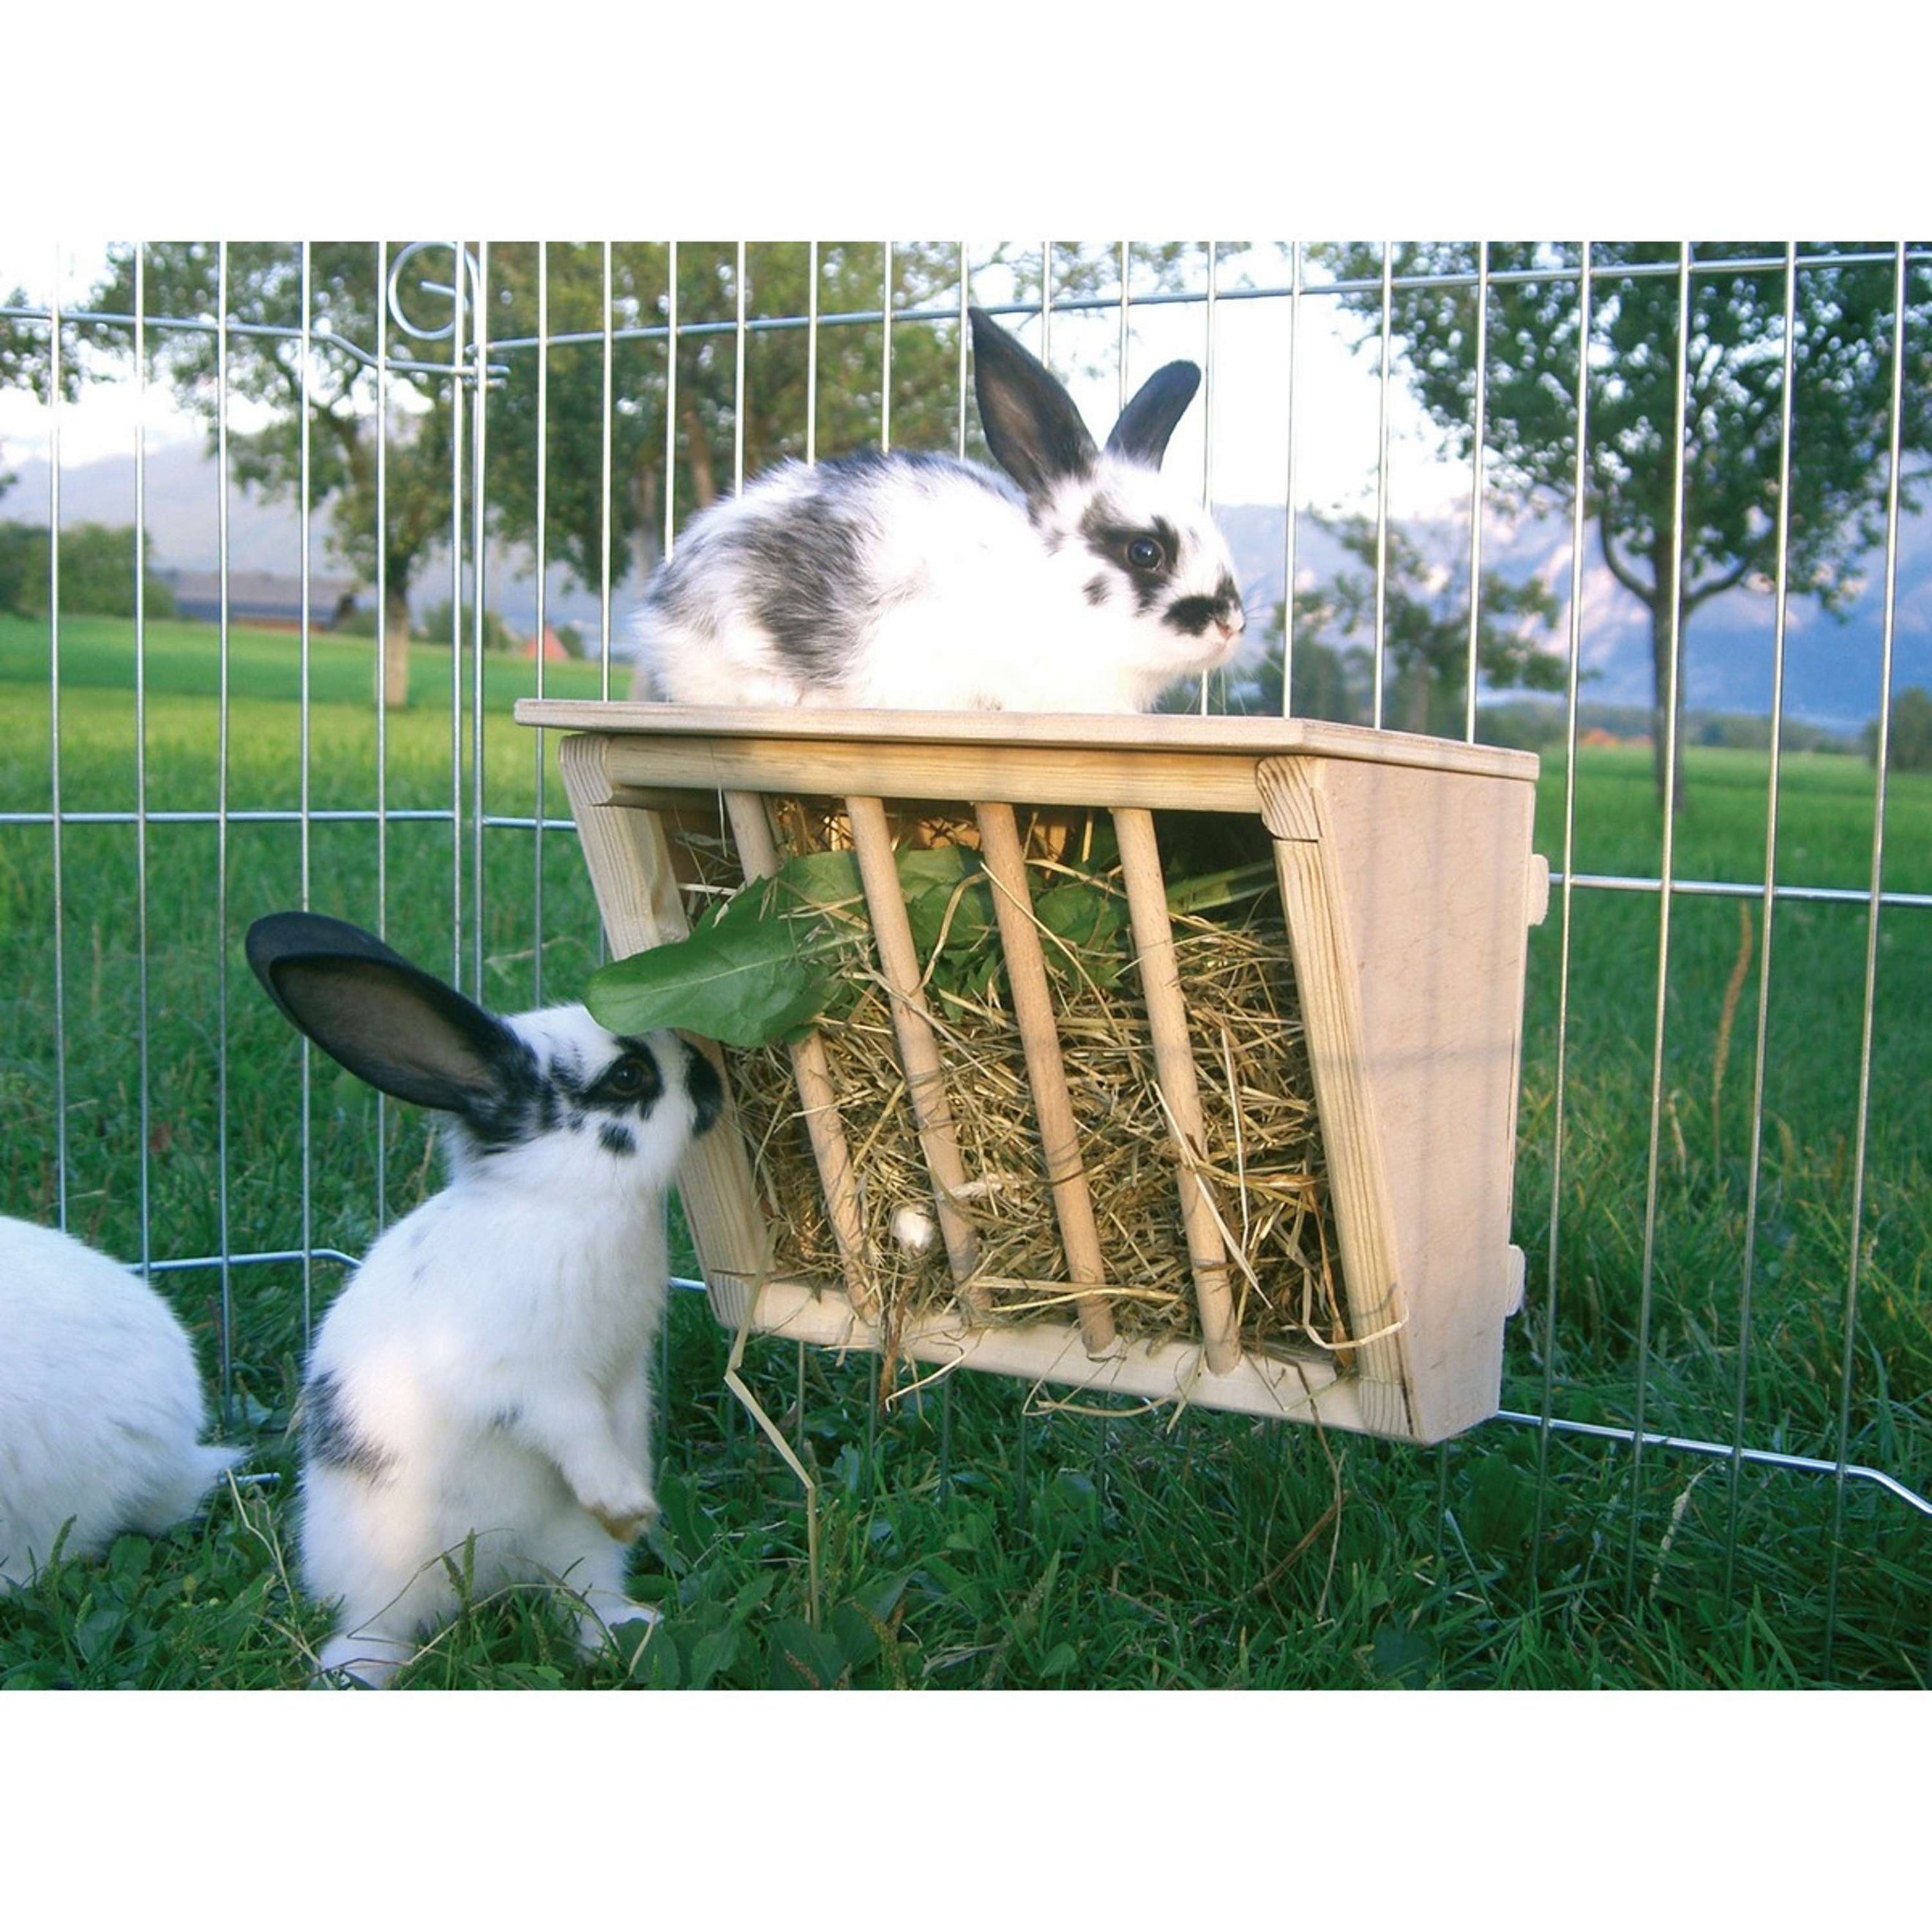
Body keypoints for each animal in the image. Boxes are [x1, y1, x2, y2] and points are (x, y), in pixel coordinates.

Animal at [245, 911, 723, 1687]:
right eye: (628, 1076)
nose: (711, 1078)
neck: (565, 1201)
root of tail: (493, 1577)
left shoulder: (625, 1373)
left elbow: (620, 1426)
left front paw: (637, 1503)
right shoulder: (526, 1381)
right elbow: (575, 1431)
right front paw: (626, 1503)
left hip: (574, 1551)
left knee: (579, 1597)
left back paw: (631, 1633)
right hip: (385, 1576)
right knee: (376, 1628)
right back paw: (356, 1672)